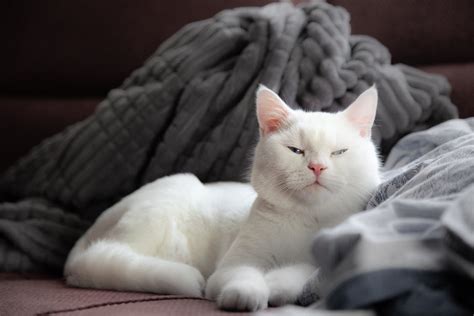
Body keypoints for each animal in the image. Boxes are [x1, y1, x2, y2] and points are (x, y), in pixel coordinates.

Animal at [64, 84, 382, 312]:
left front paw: (276, 283)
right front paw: (246, 295)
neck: (306, 219)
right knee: (109, 254)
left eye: (339, 152)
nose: (317, 167)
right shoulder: (234, 263)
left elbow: (302, 271)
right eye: (296, 151)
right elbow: (243, 275)